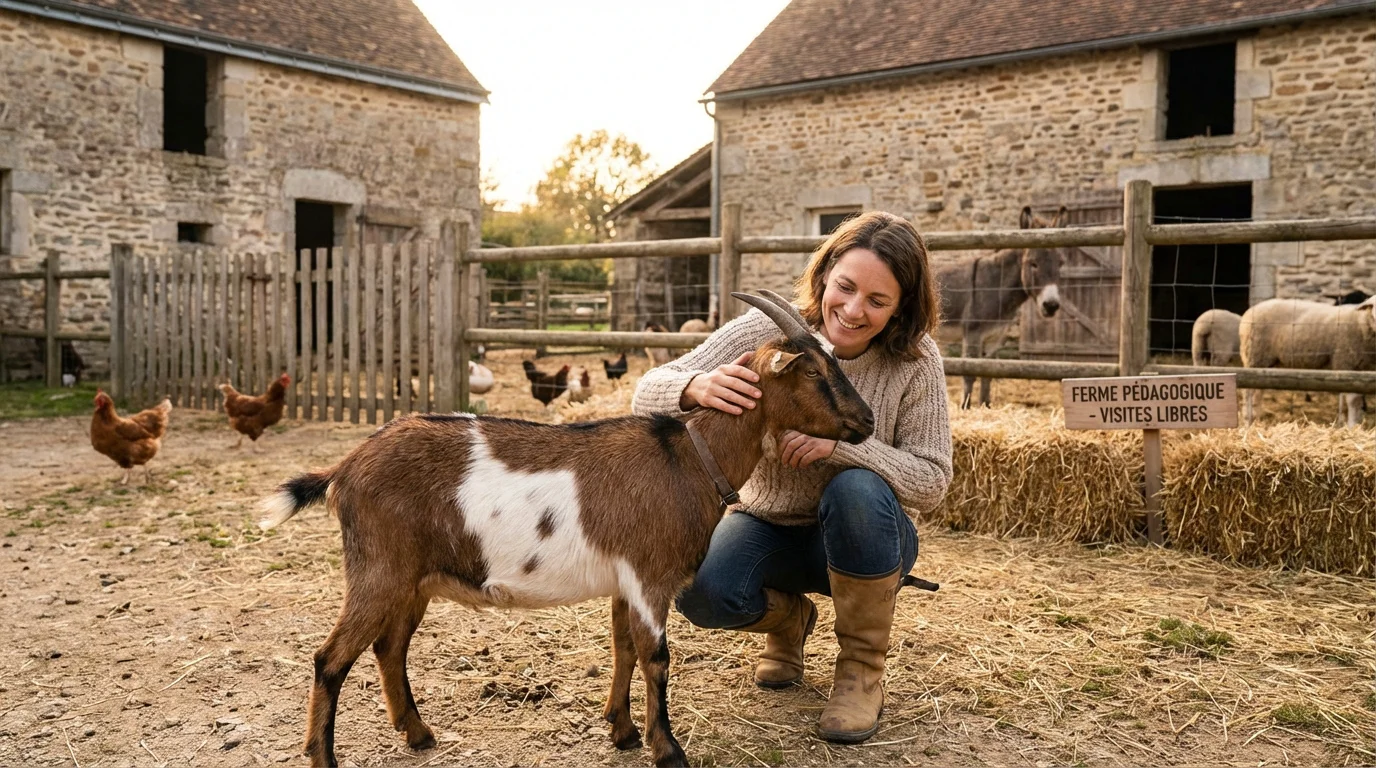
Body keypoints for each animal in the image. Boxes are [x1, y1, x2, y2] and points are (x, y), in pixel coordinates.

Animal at [258, 290, 875, 768]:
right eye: (814, 372)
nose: (867, 421)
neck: (689, 460)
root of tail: (344, 469)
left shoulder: (625, 582)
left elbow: (624, 649)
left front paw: (622, 732)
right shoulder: (649, 578)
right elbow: (655, 658)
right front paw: (668, 750)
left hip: (413, 579)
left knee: (390, 647)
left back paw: (419, 734)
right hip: (379, 571)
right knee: (330, 659)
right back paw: (325, 756)